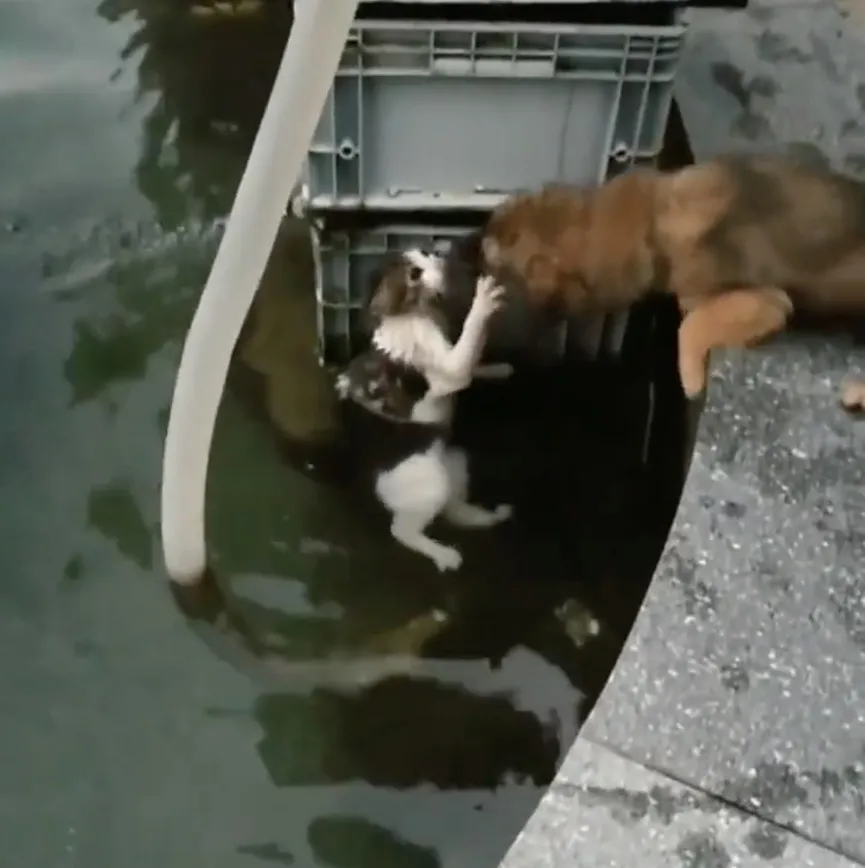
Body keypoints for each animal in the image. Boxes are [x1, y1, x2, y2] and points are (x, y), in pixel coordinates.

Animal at [482, 154, 864, 398]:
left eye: (506, 248)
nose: (480, 233)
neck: (654, 218)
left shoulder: (767, 300)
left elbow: (689, 325)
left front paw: (691, 379)